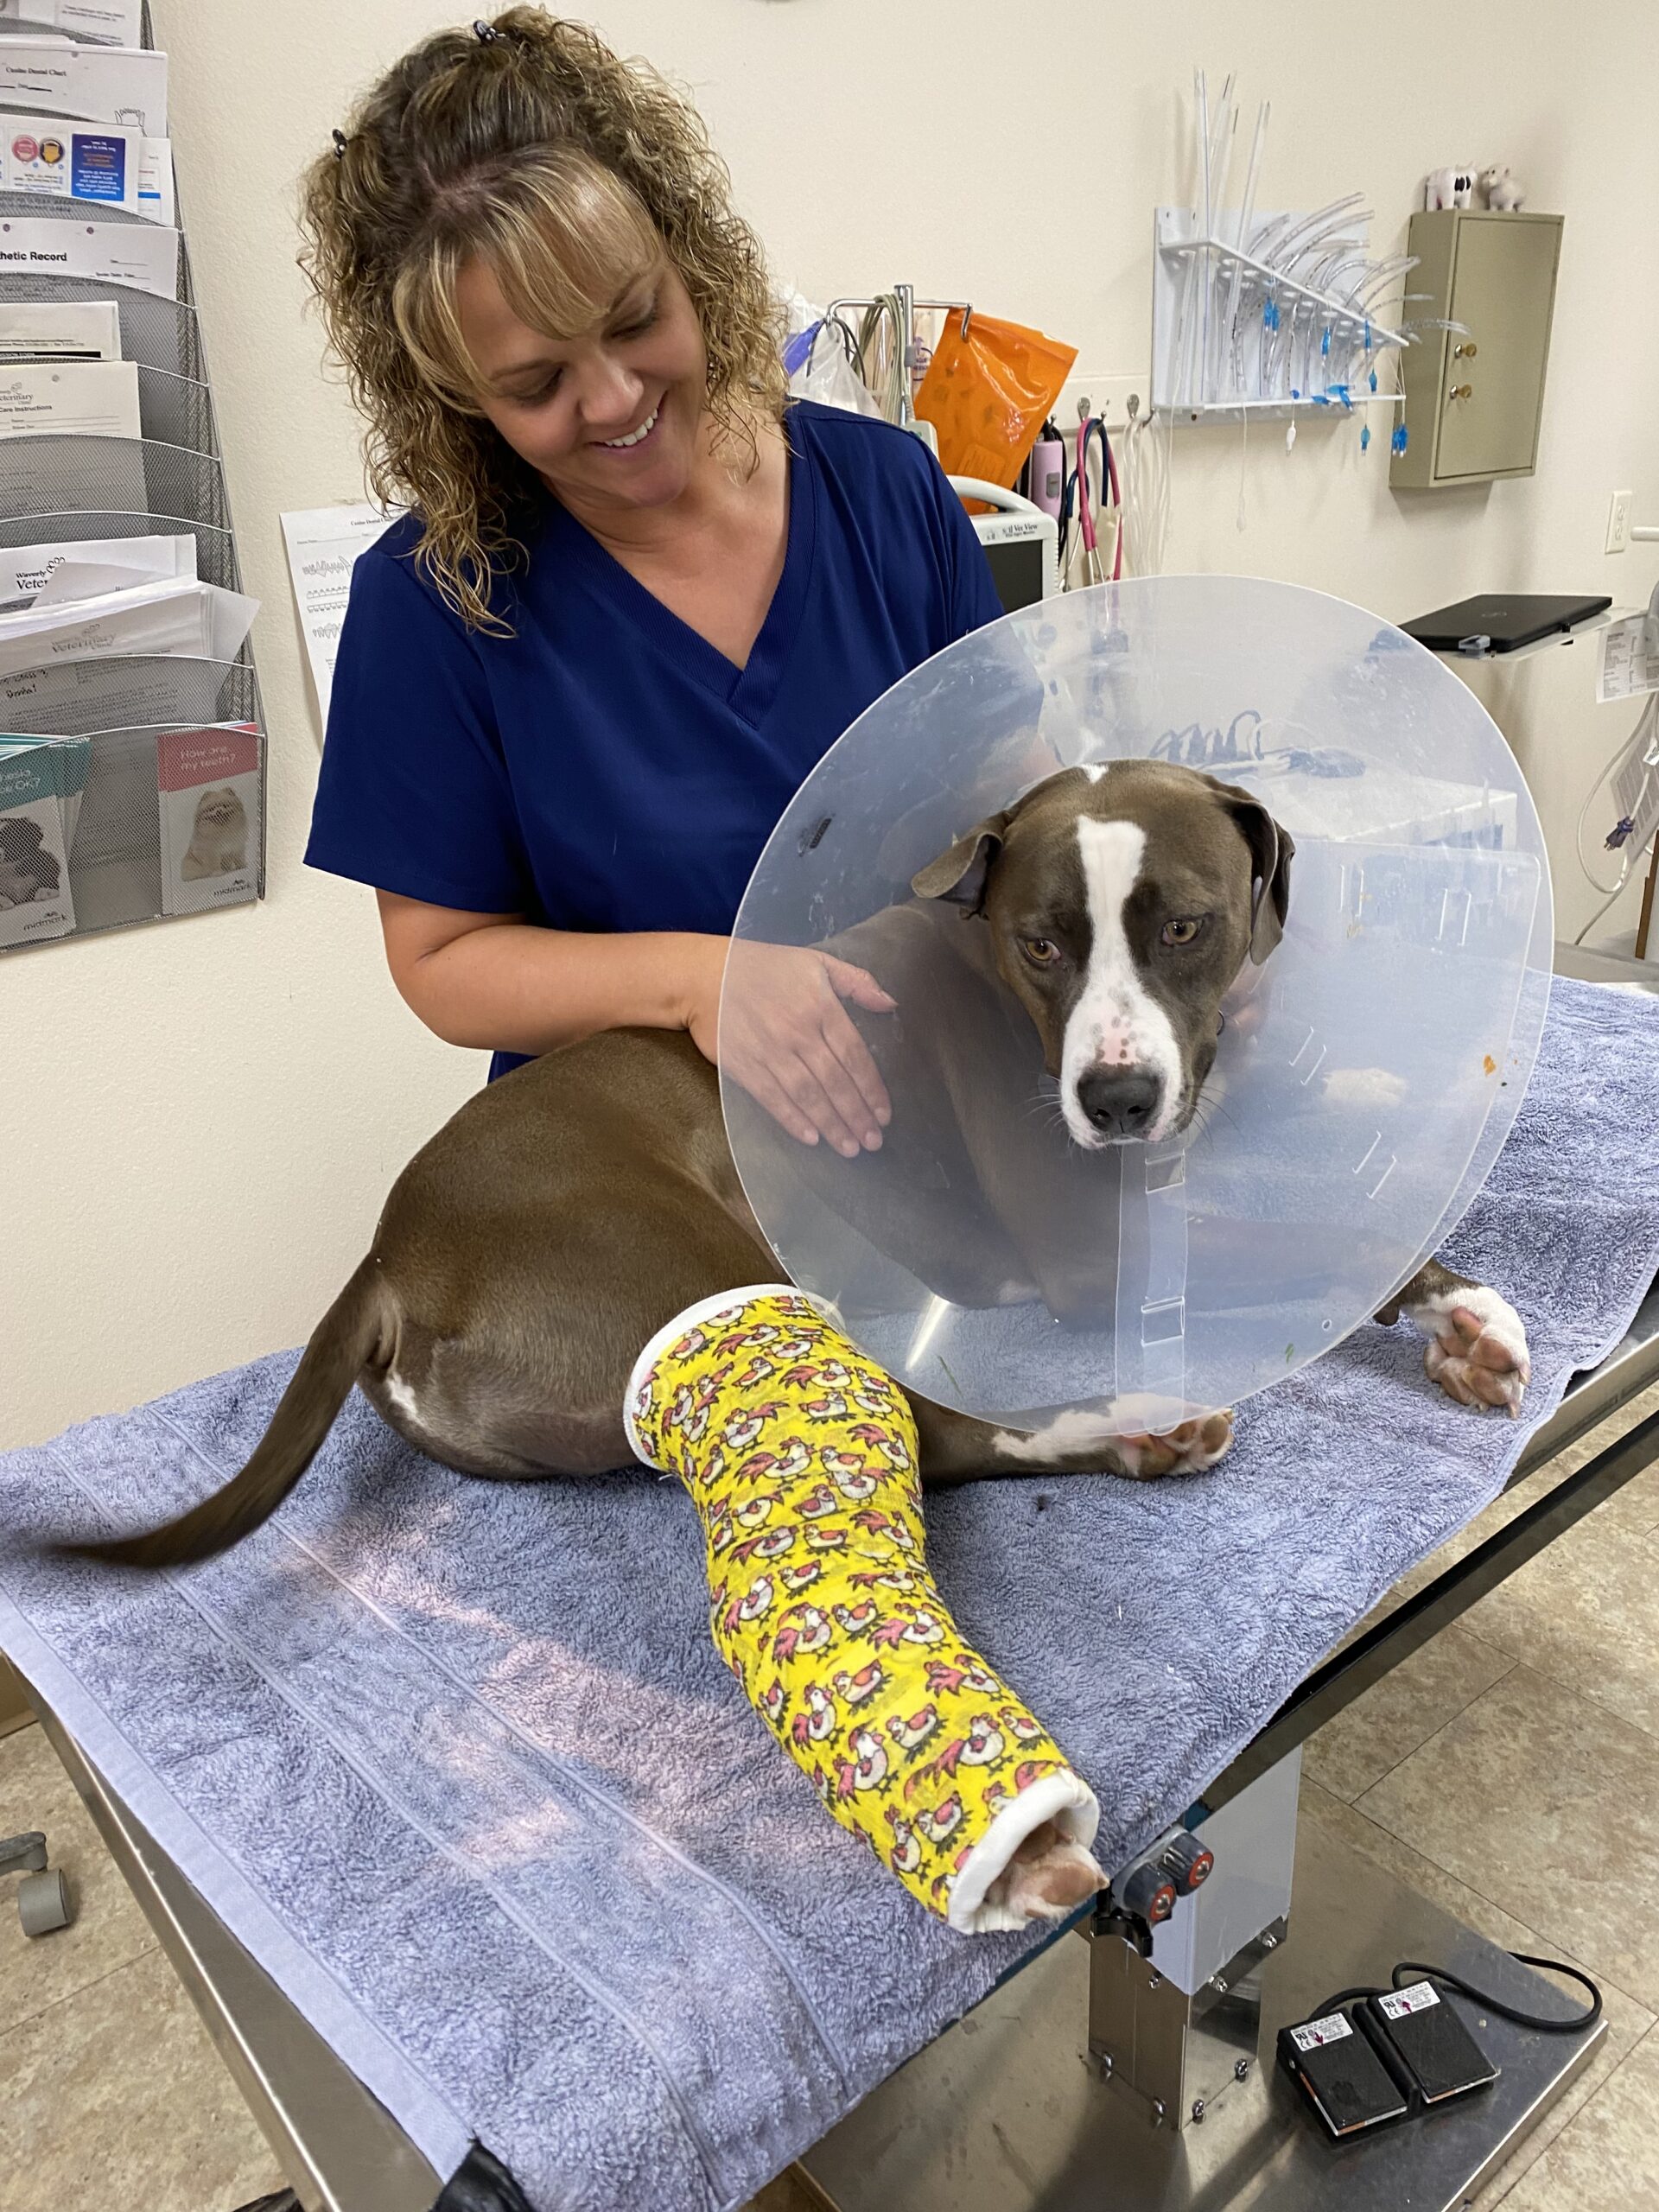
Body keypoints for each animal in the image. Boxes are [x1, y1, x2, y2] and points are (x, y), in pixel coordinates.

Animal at [74, 752, 1530, 1583]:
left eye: (1187, 925)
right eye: (1043, 943)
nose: (1116, 1098)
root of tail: (390, 1259)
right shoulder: (1083, 1251)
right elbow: (1334, 1243)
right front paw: (1462, 1304)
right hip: (698, 1268)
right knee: (940, 1435)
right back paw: (1137, 1426)